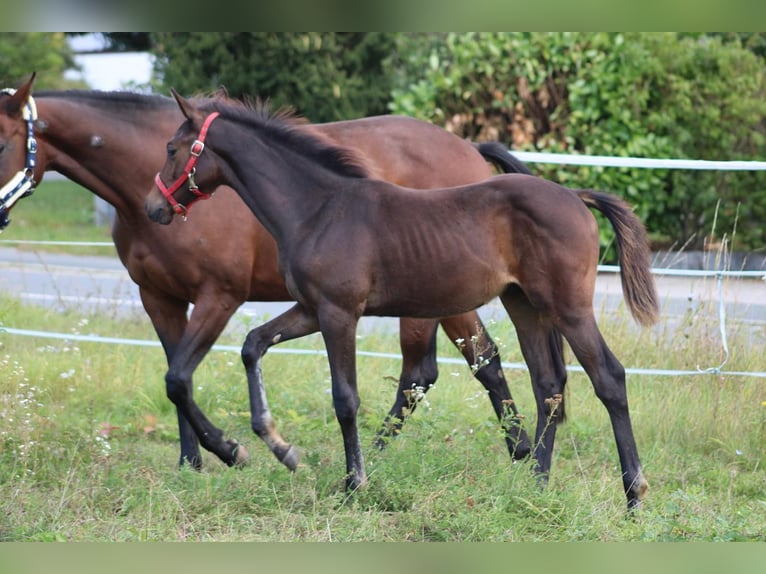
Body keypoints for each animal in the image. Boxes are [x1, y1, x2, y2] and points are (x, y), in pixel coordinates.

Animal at [0, 77, 536, 476]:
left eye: (3, 142)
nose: (158, 208)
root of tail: (470, 149)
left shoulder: (220, 296)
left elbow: (180, 377)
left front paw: (230, 451)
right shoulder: (158, 297)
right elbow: (175, 377)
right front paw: (192, 461)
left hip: (437, 298)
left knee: (451, 367)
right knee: (464, 365)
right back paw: (515, 449)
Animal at [147, 92, 664, 510]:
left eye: (172, 148)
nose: (154, 208)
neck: (319, 208)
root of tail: (576, 197)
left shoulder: (339, 313)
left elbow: (345, 399)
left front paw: (353, 484)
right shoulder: (311, 309)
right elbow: (253, 344)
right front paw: (278, 448)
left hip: (568, 307)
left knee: (609, 378)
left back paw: (633, 495)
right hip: (525, 306)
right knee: (549, 385)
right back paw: (535, 485)